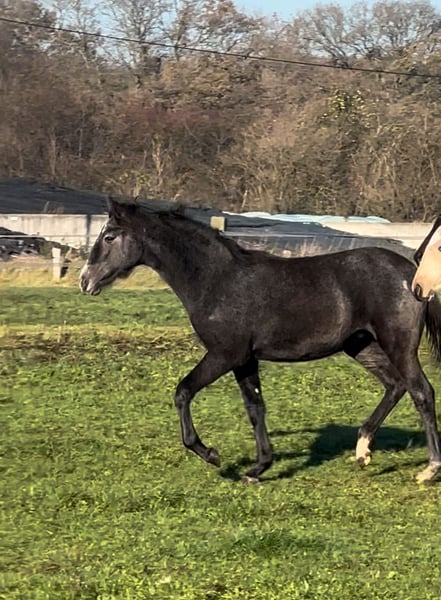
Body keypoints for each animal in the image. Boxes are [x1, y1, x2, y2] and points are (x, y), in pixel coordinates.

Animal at [80, 198, 441, 484]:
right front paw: (258, 467)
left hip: (399, 345)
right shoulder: (245, 359)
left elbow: (183, 392)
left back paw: (429, 469)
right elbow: (255, 407)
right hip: (361, 346)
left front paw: (211, 454)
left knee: (421, 391)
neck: (216, 280)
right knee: (395, 386)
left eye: (109, 236)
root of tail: (414, 276)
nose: (85, 281)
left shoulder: (225, 353)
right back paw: (363, 450)